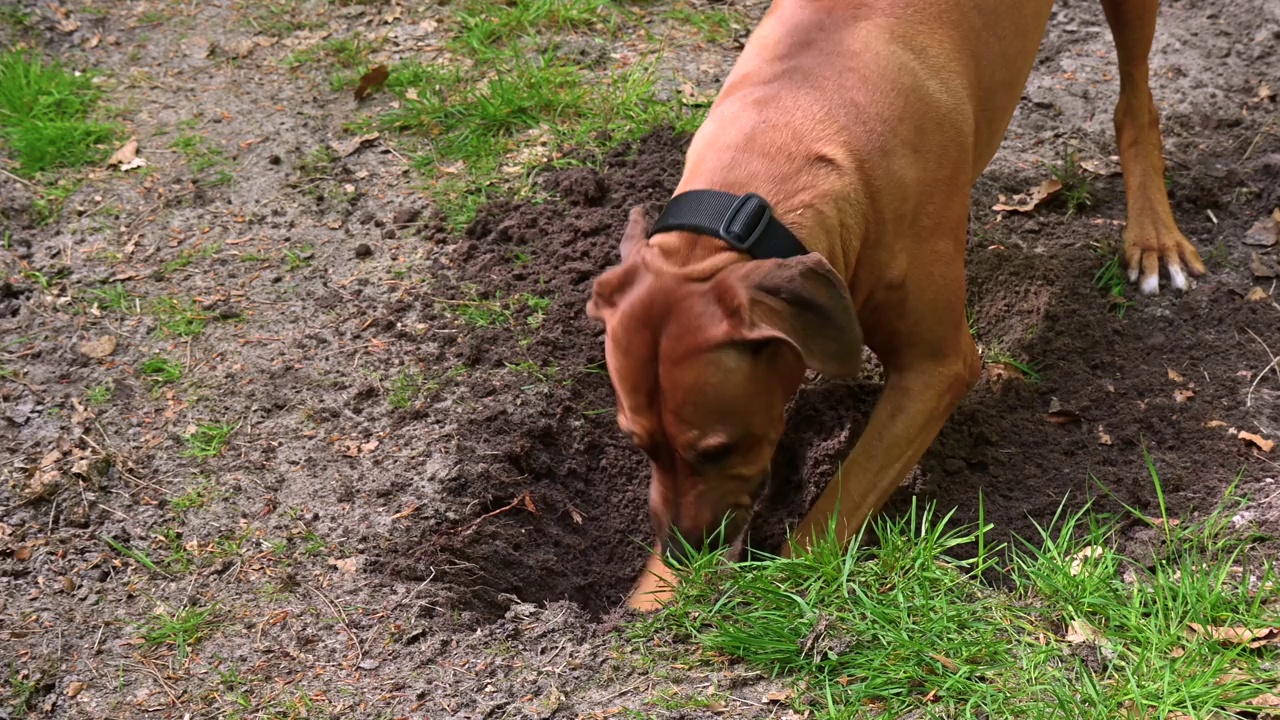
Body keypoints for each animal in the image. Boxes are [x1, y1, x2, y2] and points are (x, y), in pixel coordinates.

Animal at [586, 0, 1203, 607]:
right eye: (638, 443)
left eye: (719, 449)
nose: (683, 551)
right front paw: (655, 597)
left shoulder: (935, 370)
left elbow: (836, 507)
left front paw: (777, 595)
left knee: (1137, 106)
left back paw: (1154, 236)